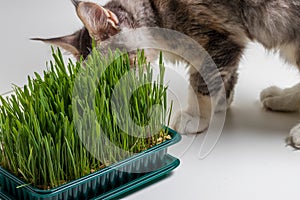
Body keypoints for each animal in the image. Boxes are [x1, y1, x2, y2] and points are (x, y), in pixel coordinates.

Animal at [32, 0, 300, 147]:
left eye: (113, 71)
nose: (110, 92)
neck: (156, 14)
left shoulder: (217, 40)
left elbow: (200, 84)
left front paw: (196, 116)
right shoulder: (228, 44)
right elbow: (224, 77)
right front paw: (222, 102)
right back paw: (279, 97)